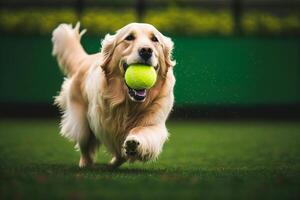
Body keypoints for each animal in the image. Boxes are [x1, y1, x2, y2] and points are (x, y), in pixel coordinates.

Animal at [51, 21, 176, 168]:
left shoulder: (154, 122)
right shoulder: (103, 122)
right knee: (84, 143)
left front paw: (133, 143)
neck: (130, 104)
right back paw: (86, 163)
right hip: (80, 121)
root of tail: (86, 59)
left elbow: (141, 131)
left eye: (155, 39)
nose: (146, 50)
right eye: (129, 37)